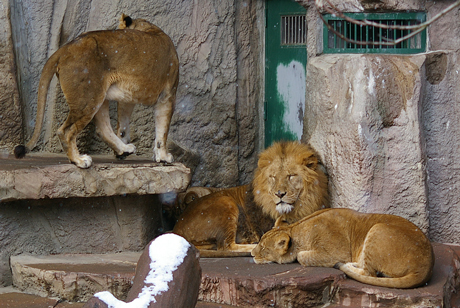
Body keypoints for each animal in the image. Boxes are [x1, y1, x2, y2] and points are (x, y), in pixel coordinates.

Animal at [13, 13, 179, 168]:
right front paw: (164, 157)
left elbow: (123, 126)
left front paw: (121, 152)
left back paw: (123, 149)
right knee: (65, 131)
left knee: (103, 128)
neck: (147, 27)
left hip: (98, 96)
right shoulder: (168, 95)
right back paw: (79, 160)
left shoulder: (128, 98)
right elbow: (162, 130)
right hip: (88, 99)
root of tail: (65, 48)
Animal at [172, 142, 328, 258]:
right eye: (273, 177)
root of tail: (176, 229)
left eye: (291, 176)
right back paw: (254, 246)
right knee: (226, 247)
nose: (279, 194)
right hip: (226, 201)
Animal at [252, 207, 434, 288]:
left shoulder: (335, 253)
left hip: (378, 228)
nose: (252, 254)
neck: (297, 229)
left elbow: (301, 256)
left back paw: (346, 265)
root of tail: (425, 267)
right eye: (259, 242)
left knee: (369, 273)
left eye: (263, 248)